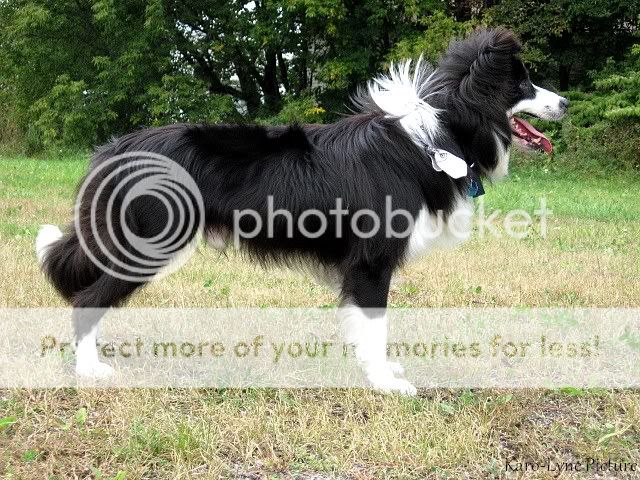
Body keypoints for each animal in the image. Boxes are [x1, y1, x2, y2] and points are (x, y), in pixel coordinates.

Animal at [35, 29, 568, 394]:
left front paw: (380, 372)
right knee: (86, 300)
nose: (564, 101)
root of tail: (114, 149)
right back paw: (90, 370)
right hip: (146, 244)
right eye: (523, 82)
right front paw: (386, 384)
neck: (438, 136)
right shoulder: (372, 261)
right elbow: (375, 326)